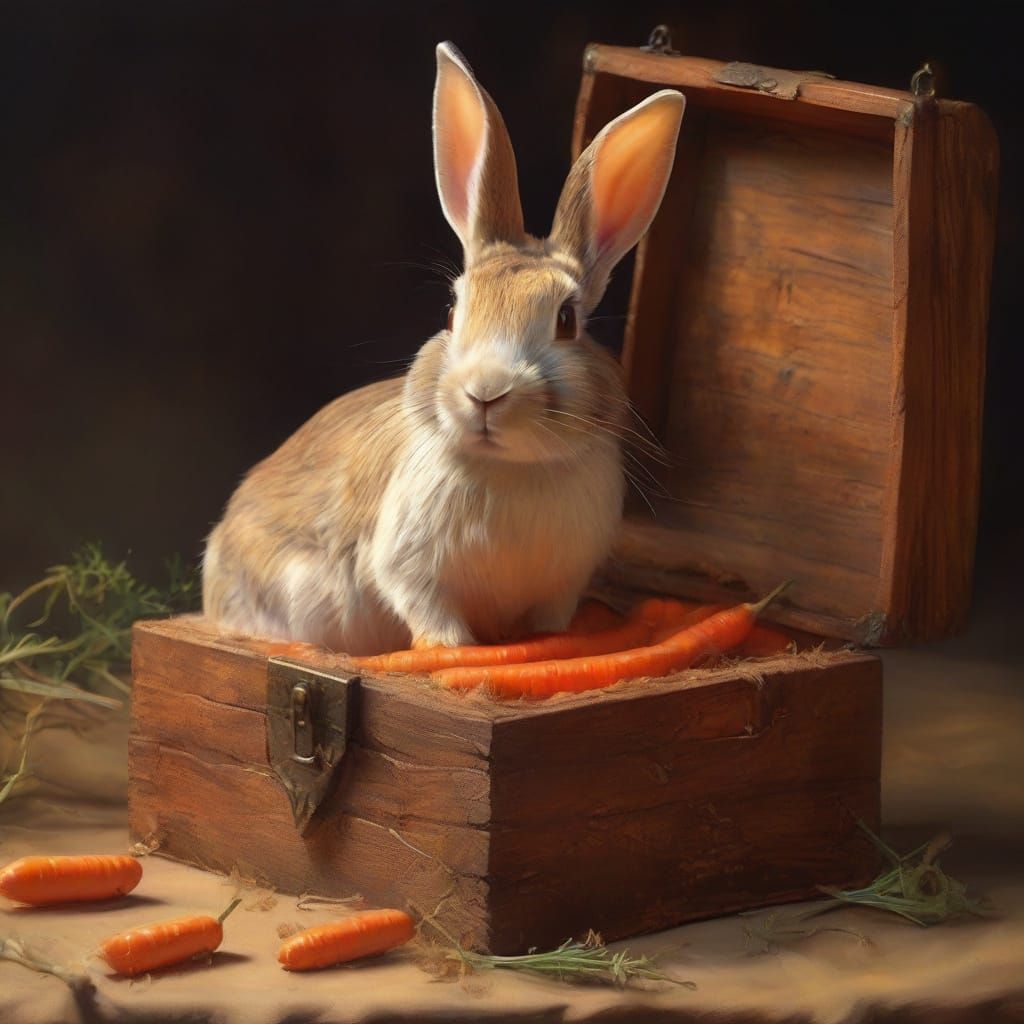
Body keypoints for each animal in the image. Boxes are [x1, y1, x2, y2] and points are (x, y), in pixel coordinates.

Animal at [202, 42, 685, 656]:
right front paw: (454, 652)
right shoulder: (410, 572)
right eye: (452, 313)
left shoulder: (561, 588)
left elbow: (551, 627)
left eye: (567, 320)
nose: (486, 392)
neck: (509, 468)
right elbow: (437, 624)